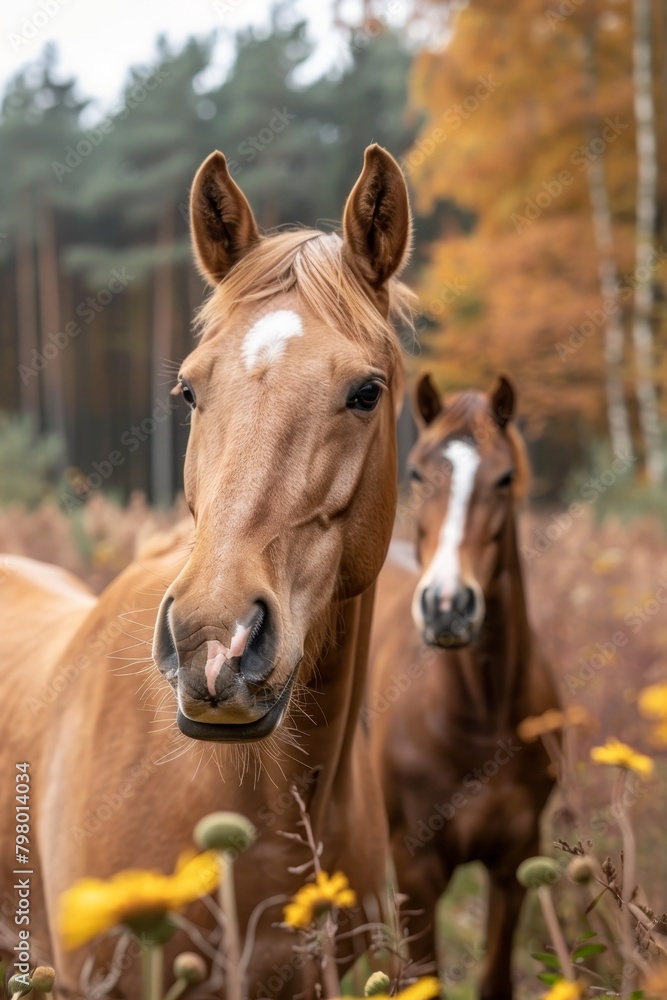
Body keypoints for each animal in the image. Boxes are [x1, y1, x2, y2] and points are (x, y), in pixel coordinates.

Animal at [368, 376, 560, 1000]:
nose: (447, 605)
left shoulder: (515, 863)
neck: (479, 716)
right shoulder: (415, 869)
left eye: (504, 478)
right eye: (416, 472)